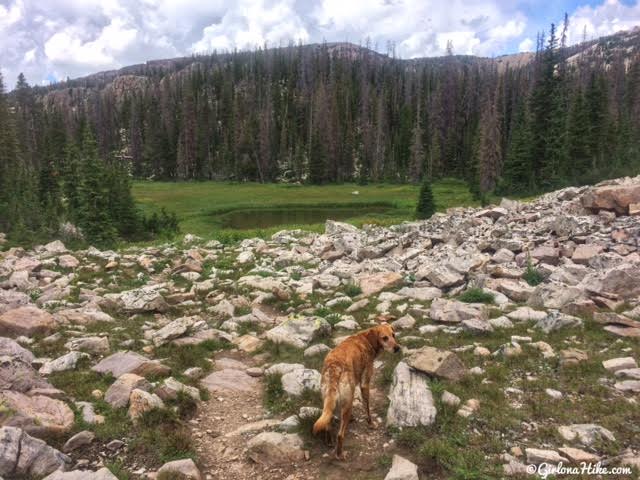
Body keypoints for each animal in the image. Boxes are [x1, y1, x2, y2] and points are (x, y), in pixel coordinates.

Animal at [312, 324, 400, 460]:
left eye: (393, 335)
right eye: (385, 338)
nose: (397, 348)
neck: (367, 340)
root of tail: (334, 367)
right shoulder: (365, 385)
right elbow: (367, 409)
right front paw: (371, 424)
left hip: (328, 400)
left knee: (327, 423)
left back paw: (329, 441)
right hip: (348, 399)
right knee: (340, 435)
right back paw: (340, 454)